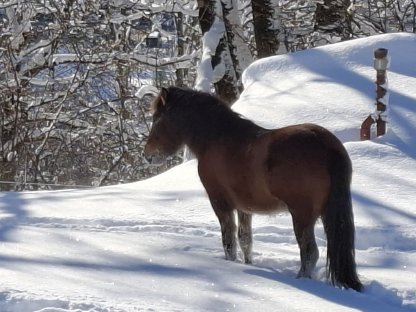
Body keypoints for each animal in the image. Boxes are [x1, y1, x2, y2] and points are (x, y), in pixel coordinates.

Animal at [145, 86, 362, 292]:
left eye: (157, 119)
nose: (148, 156)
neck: (216, 139)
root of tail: (327, 146)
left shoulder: (221, 204)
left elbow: (229, 241)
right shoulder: (244, 208)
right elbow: (245, 240)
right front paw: (248, 264)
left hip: (301, 216)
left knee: (309, 253)